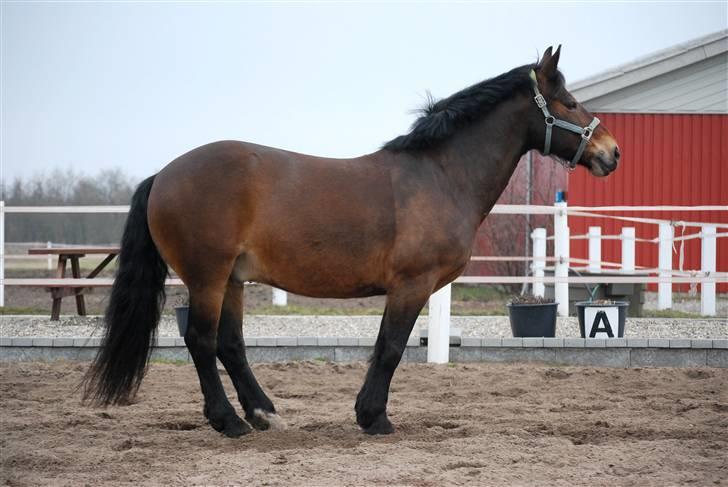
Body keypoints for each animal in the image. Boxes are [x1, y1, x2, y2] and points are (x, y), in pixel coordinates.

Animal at [84, 47, 620, 438]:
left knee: (229, 344)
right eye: (569, 102)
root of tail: (164, 175)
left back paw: (262, 413)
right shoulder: (411, 285)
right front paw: (374, 418)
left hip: (232, 279)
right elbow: (390, 348)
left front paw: (368, 413)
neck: (441, 175)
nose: (611, 152)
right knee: (200, 340)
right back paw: (230, 422)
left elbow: (385, 346)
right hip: (208, 277)